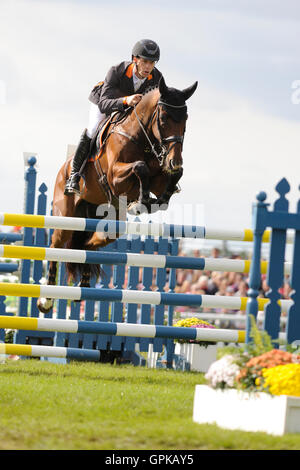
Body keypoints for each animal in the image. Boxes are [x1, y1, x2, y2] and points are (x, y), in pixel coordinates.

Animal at [37, 76, 197, 312]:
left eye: (185, 119)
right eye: (164, 119)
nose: (174, 161)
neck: (141, 137)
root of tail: (62, 171)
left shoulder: (159, 177)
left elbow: (170, 178)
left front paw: (157, 199)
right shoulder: (114, 176)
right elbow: (140, 167)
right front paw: (141, 201)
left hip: (109, 223)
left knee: (87, 244)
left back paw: (84, 286)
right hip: (66, 218)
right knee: (56, 247)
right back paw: (46, 300)